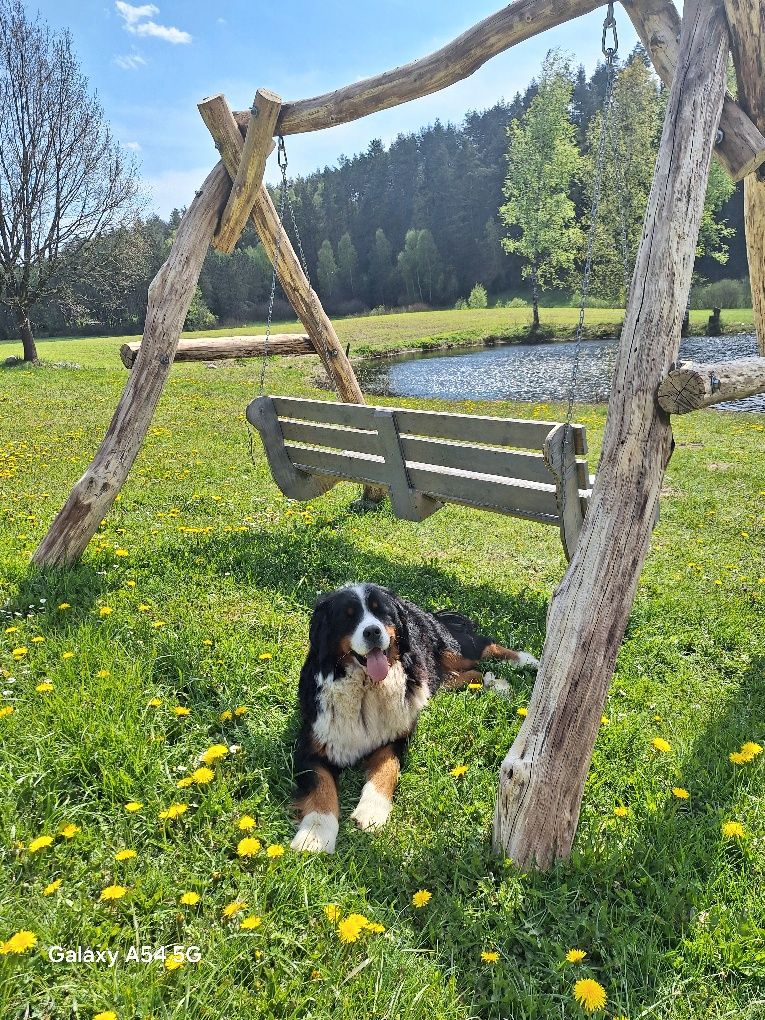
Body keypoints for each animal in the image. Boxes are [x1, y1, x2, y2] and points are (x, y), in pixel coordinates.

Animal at [291, 583, 538, 852]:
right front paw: (315, 836)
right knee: (470, 674)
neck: (366, 688)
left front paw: (372, 812)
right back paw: (496, 683)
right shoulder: (311, 748)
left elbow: (386, 769)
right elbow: (321, 789)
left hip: (451, 649)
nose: (373, 631)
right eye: (348, 617)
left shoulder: (394, 737)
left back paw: (525, 660)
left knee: (484, 647)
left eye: (382, 612)